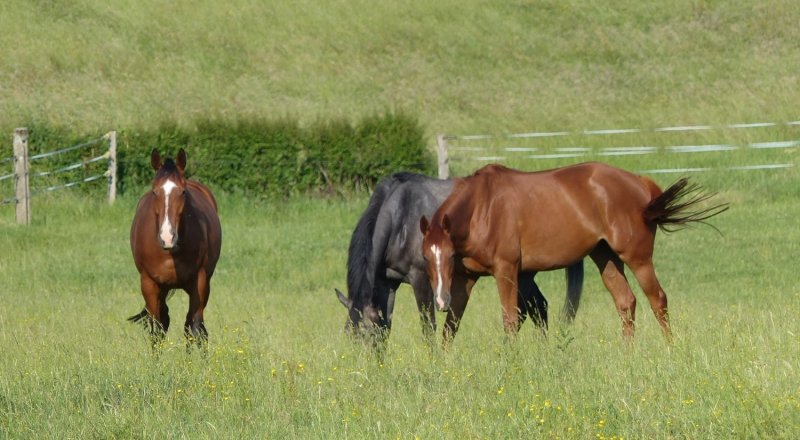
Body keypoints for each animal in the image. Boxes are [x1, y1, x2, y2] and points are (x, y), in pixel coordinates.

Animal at [128, 149, 222, 348]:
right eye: (155, 191)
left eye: (183, 192)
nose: (167, 237)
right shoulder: (149, 283)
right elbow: (157, 329)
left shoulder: (200, 282)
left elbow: (196, 327)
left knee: (193, 326)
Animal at [335, 172, 584, 346]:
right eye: (349, 336)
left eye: (366, 334)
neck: (401, 217)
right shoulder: (387, 283)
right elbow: (386, 325)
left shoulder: (421, 280)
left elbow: (428, 328)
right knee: (536, 308)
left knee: (536, 308)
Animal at [420, 162, 727, 341]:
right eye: (426, 257)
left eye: (448, 256)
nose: (440, 300)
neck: (482, 208)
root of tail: (640, 183)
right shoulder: (465, 278)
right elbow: (450, 325)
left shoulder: (506, 270)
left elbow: (509, 320)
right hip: (605, 257)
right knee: (626, 302)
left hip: (637, 259)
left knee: (658, 300)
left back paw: (669, 347)